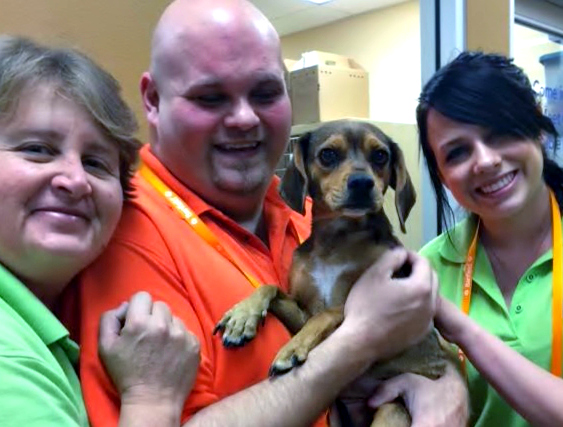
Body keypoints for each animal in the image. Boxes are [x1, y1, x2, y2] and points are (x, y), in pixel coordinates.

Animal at [214, 120, 448, 427]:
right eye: (327, 154)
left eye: (380, 155)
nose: (362, 183)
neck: (337, 241)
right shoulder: (302, 312)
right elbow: (270, 288)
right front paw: (242, 317)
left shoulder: (349, 307)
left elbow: (327, 313)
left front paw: (291, 349)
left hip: (391, 410)